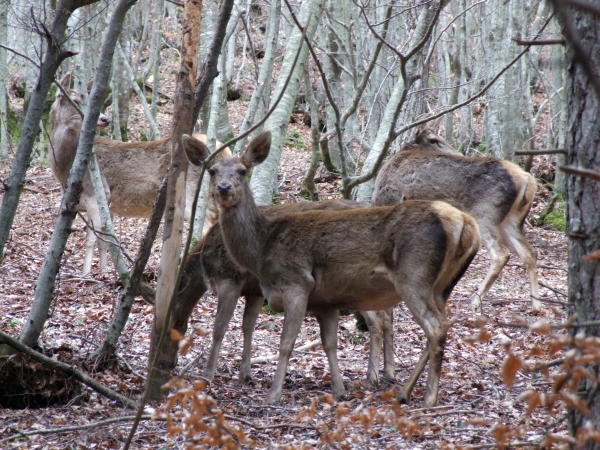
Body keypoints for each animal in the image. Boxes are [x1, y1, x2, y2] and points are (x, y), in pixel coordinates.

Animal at [47, 73, 220, 274]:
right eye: (74, 100)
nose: (105, 119)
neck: (65, 168)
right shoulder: (106, 202)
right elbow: (104, 240)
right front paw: (104, 272)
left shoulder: (94, 191)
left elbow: (91, 239)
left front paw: (85, 274)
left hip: (193, 192)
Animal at [180, 131, 480, 408]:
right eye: (213, 170)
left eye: (243, 171)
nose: (224, 187)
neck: (262, 248)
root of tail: (464, 223)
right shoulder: (325, 301)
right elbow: (329, 344)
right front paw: (339, 391)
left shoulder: (296, 283)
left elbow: (285, 342)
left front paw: (273, 394)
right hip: (441, 286)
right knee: (438, 325)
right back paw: (404, 392)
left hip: (413, 276)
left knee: (434, 327)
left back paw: (428, 397)